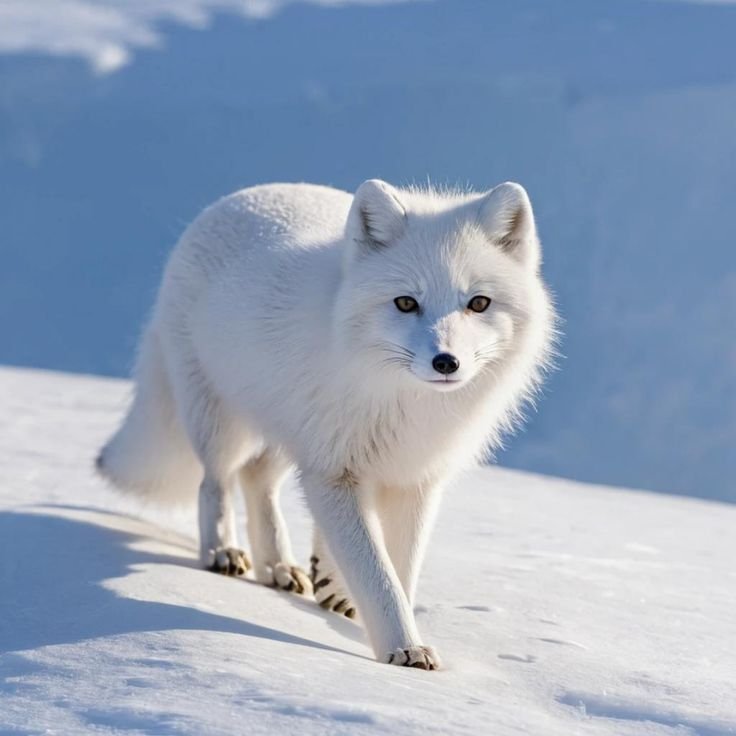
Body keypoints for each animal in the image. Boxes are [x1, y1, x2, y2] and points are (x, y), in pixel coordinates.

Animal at [97, 178, 556, 670]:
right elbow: (378, 575)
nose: (445, 362)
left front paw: (372, 618)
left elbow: (401, 570)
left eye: (478, 303)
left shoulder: (412, 477)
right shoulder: (334, 472)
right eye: (406, 303)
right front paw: (404, 649)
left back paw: (283, 567)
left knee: (256, 479)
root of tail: (239, 196)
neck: (404, 402)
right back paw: (224, 552)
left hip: (290, 436)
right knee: (217, 482)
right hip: (224, 423)